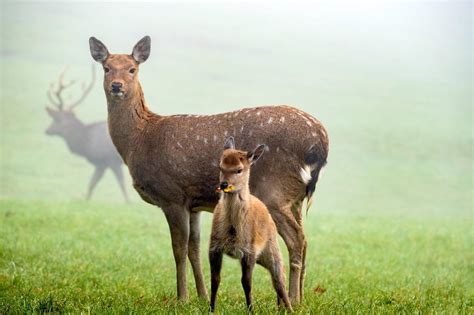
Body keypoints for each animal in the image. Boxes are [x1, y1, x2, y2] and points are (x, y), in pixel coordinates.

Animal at [45, 66, 129, 202]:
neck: (87, 143)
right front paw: (86, 200)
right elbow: (92, 183)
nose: (47, 130)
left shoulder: (109, 160)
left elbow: (120, 183)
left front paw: (129, 202)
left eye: (56, 119)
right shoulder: (101, 163)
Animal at [210, 138, 292, 314]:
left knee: (280, 278)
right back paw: (279, 306)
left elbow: (246, 282)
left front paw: (251, 310)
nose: (224, 184)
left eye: (239, 170)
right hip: (262, 256)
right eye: (220, 167)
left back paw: (290, 308)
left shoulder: (250, 250)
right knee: (276, 281)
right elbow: (215, 280)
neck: (233, 231)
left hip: (271, 246)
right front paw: (211, 309)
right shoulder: (214, 246)